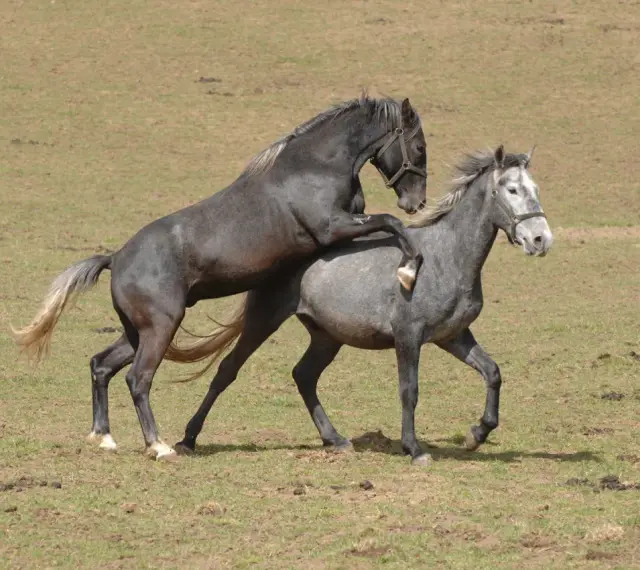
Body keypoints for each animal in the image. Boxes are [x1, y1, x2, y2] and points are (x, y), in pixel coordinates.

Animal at [13, 95, 428, 460]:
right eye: (419, 146)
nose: (417, 201)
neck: (315, 166)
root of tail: (116, 258)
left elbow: (385, 224)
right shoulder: (334, 227)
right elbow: (390, 222)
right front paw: (410, 267)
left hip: (137, 332)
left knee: (101, 365)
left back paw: (104, 437)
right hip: (161, 328)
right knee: (138, 378)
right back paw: (159, 446)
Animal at [170, 146, 553, 464]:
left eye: (535, 188)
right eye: (511, 189)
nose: (541, 240)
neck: (446, 256)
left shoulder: (452, 336)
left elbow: (492, 373)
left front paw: (477, 434)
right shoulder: (408, 337)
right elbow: (409, 391)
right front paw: (415, 449)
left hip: (327, 336)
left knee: (303, 375)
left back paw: (335, 439)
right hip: (264, 321)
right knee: (227, 370)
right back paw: (187, 440)